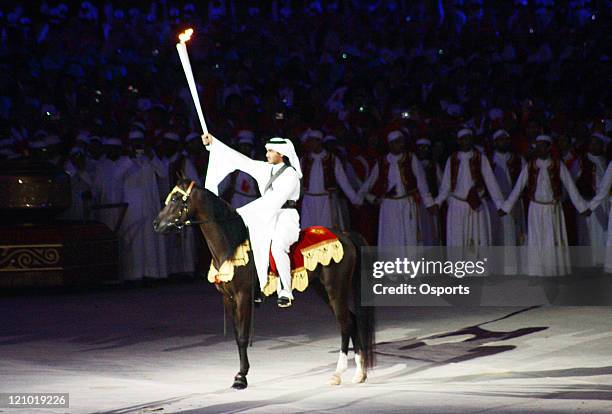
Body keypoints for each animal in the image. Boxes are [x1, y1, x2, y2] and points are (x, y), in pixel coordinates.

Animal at [153, 180, 372, 390]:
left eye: (176, 199)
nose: (156, 224)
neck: (231, 246)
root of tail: (344, 234)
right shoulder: (228, 299)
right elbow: (236, 336)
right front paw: (240, 373)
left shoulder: (243, 296)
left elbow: (242, 336)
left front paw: (241, 377)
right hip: (323, 289)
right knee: (352, 320)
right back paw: (359, 373)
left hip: (335, 289)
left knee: (345, 324)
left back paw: (338, 373)